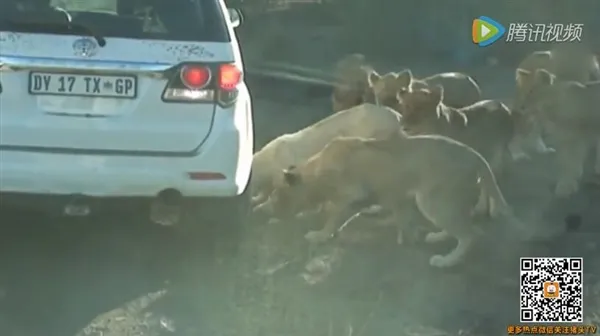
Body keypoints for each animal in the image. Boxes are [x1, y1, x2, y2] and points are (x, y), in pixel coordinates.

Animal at [255, 133, 512, 270]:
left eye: (276, 194)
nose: (261, 209)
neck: (316, 173)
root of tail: (475, 154)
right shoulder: (394, 195)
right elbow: (401, 218)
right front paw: (406, 237)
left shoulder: (353, 195)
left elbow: (334, 218)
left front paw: (319, 235)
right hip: (438, 203)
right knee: (459, 228)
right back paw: (437, 236)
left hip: (434, 201)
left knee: (471, 234)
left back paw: (446, 261)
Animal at [510, 68, 600, 197]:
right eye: (521, 91)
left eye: (532, 91)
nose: (521, 107)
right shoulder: (566, 139)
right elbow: (567, 162)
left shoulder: (573, 139)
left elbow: (570, 162)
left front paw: (565, 186)